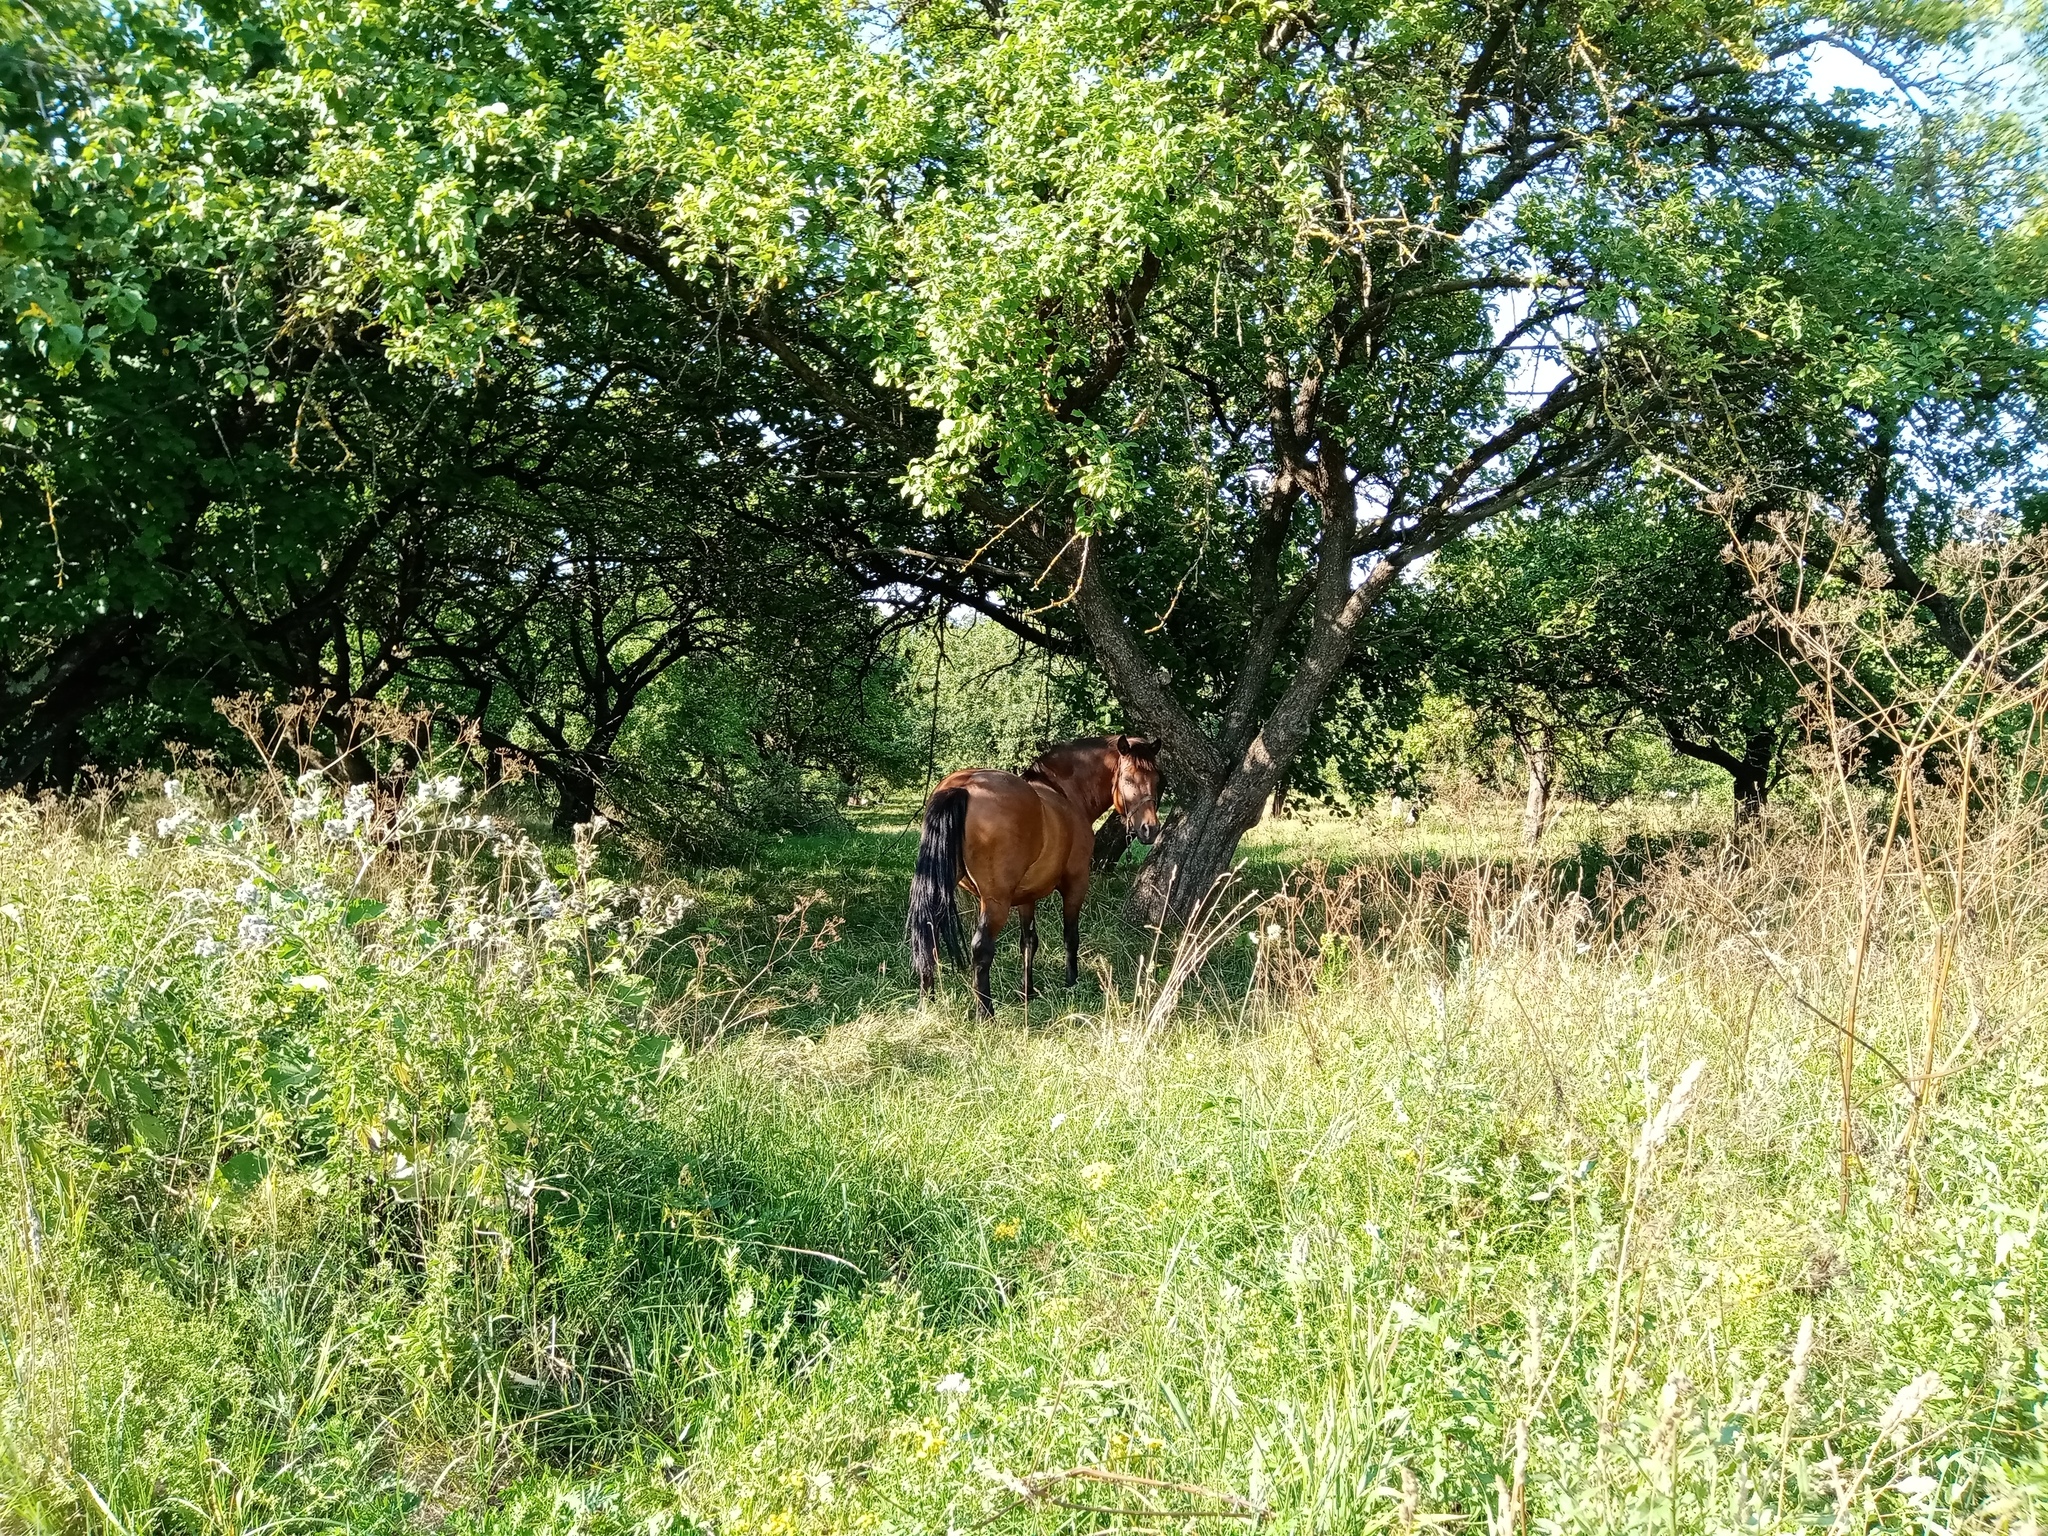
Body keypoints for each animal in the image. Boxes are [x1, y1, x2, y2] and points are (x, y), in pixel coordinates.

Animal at [909, 737, 1163, 1015]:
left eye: (1156, 779)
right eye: (1128, 778)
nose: (1150, 829)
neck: (1065, 794)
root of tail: (964, 785)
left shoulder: (1026, 897)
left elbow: (1028, 942)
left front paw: (1027, 991)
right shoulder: (1076, 884)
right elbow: (1070, 936)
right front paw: (1071, 983)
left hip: (941, 887)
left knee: (929, 934)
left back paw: (927, 1001)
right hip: (995, 901)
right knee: (981, 948)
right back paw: (985, 1013)